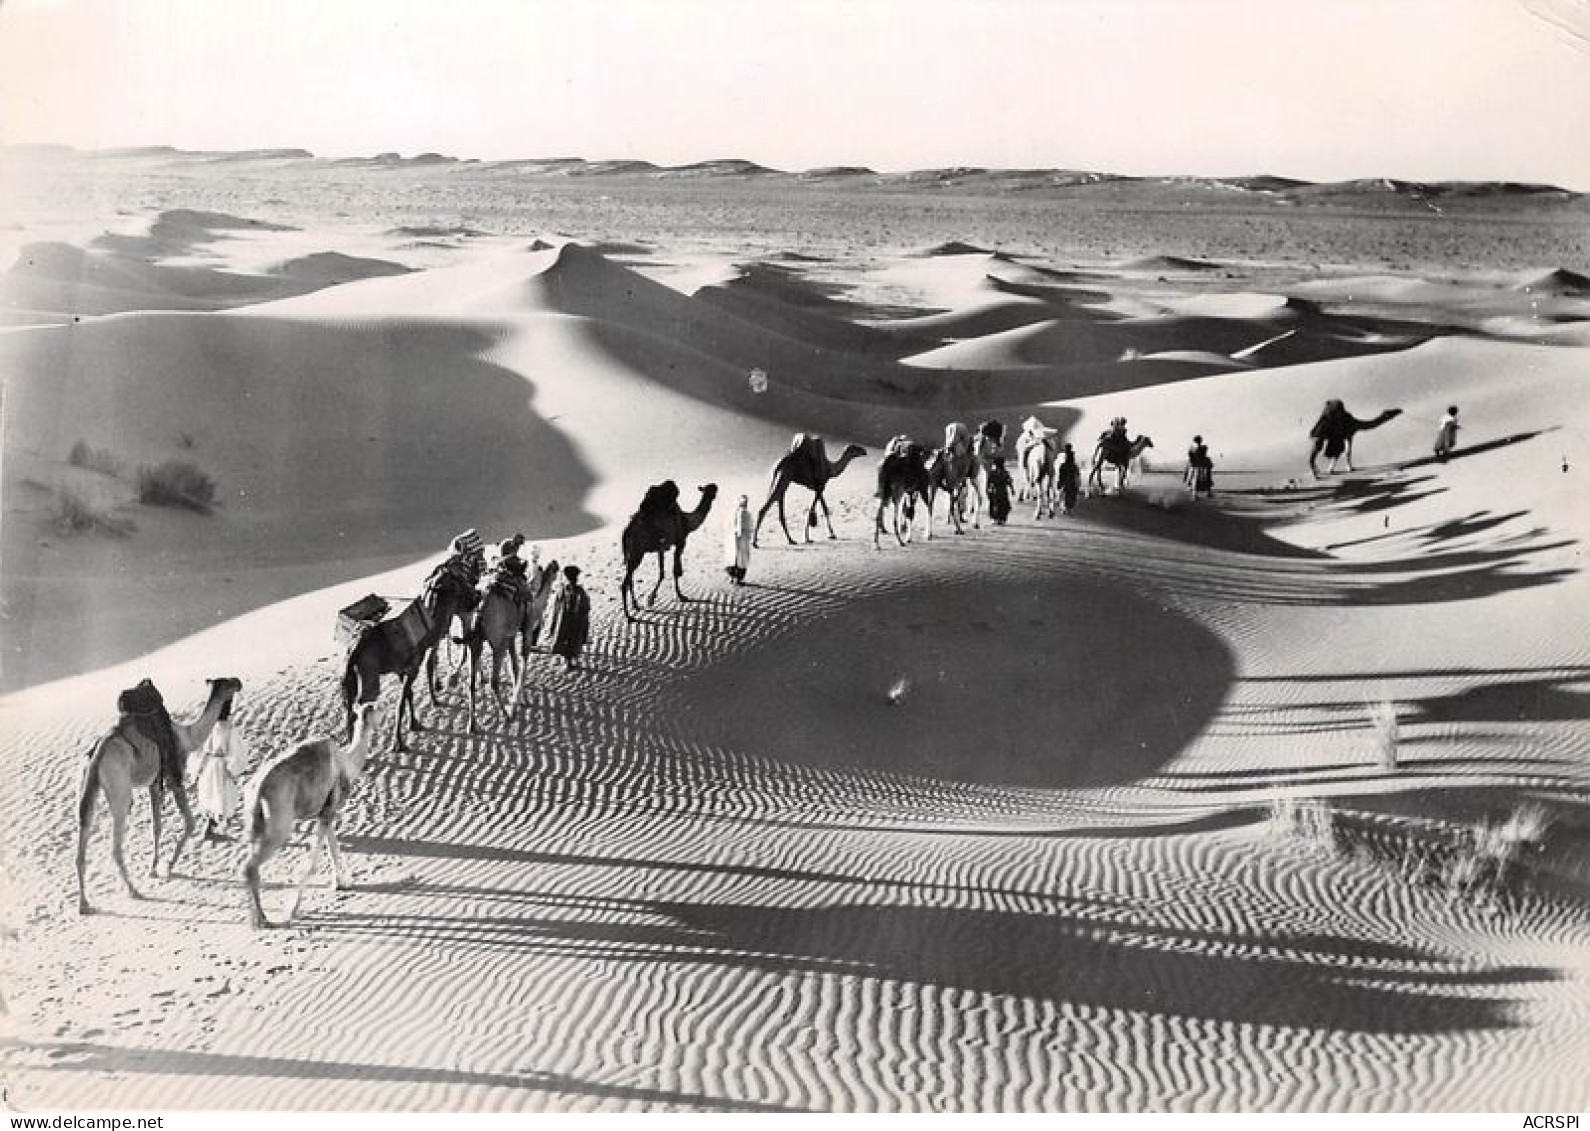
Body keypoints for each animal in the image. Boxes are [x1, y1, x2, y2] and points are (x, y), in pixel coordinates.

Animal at [238, 703, 381, 935]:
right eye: (375, 708)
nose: (381, 711)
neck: (348, 762)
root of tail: (257, 790)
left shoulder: (325, 812)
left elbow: (333, 847)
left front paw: (343, 883)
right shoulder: (329, 808)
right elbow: (314, 862)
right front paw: (293, 909)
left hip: (255, 823)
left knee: (251, 865)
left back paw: (257, 918)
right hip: (279, 823)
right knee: (250, 866)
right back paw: (262, 920)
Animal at [341, 563, 477, 750]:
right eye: (458, 582)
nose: (477, 594)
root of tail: (357, 643)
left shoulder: (403, 669)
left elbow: (409, 695)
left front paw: (414, 723)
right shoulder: (413, 667)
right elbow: (402, 700)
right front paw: (398, 742)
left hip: (356, 670)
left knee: (350, 704)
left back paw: (349, 742)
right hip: (369, 672)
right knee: (359, 704)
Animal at [620, 477, 721, 620]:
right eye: (710, 489)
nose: (716, 487)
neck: (687, 521)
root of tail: (627, 529)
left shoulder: (661, 547)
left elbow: (662, 572)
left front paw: (651, 598)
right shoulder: (681, 542)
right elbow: (675, 571)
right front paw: (680, 596)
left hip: (633, 553)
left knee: (630, 579)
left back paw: (635, 605)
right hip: (637, 552)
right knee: (625, 582)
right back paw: (629, 616)